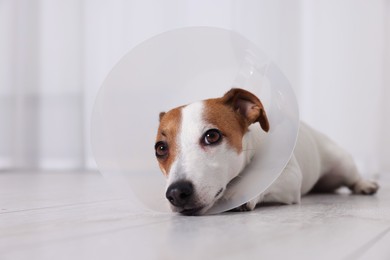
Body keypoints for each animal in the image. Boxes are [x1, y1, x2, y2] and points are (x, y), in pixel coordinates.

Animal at [154, 88, 380, 214]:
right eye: (160, 148)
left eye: (212, 136)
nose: (176, 192)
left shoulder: (290, 177)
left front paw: (240, 193)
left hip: (341, 163)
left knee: (353, 177)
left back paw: (365, 184)